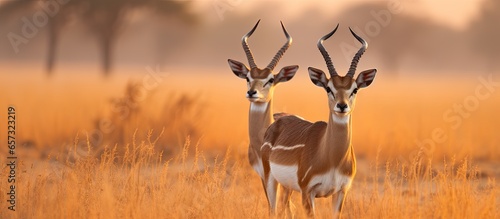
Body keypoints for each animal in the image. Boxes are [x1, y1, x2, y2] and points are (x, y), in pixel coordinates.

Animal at [262, 24, 376, 217]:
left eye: (354, 89)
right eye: (328, 88)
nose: (342, 106)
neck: (332, 158)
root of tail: (278, 119)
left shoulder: (341, 192)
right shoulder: (308, 192)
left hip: (287, 187)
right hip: (270, 180)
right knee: (273, 209)